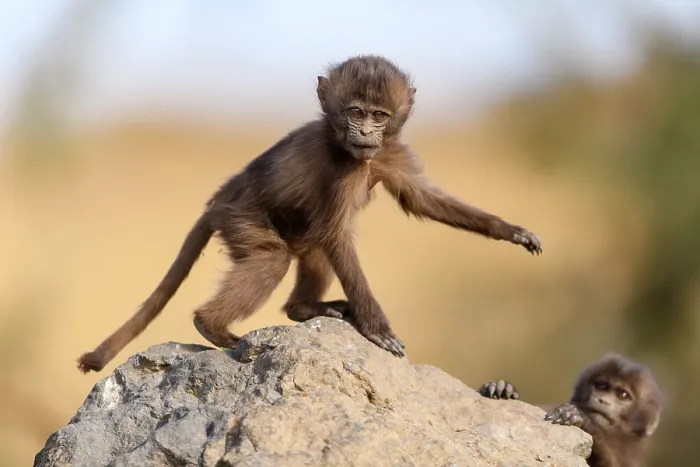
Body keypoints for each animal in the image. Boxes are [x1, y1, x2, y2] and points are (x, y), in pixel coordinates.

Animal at [77, 54, 542, 373]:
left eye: (379, 116)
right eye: (355, 111)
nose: (365, 132)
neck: (358, 153)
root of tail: (220, 198)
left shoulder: (390, 154)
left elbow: (422, 200)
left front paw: (512, 231)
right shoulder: (344, 168)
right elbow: (338, 234)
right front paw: (377, 328)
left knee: (314, 249)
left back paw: (303, 309)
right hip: (240, 217)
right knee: (274, 257)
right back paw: (212, 326)